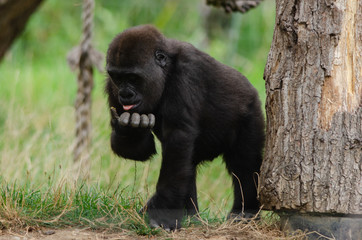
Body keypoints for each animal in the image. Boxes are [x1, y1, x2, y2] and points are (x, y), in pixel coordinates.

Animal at [104, 25, 264, 230]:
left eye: (133, 78)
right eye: (118, 78)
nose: (125, 94)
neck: (166, 69)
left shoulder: (187, 73)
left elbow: (178, 137)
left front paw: (162, 213)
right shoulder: (111, 85)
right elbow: (140, 150)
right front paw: (131, 132)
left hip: (251, 110)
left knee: (244, 164)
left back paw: (245, 212)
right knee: (187, 165)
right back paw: (190, 214)